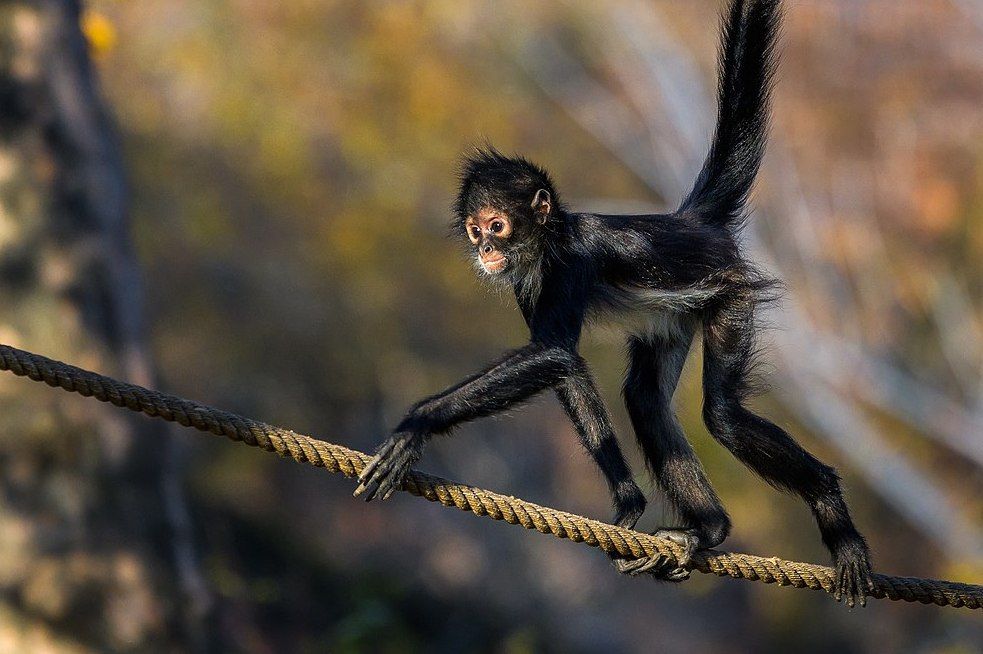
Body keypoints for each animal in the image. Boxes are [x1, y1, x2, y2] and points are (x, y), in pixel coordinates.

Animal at [354, 0, 876, 608]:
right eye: (474, 229)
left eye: (497, 226)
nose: (484, 249)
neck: (552, 240)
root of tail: (688, 223)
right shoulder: (529, 281)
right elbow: (563, 362)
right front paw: (629, 503)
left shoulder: (571, 262)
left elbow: (553, 352)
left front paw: (417, 424)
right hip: (673, 317)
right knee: (644, 398)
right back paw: (707, 531)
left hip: (729, 292)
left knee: (721, 412)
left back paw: (827, 503)